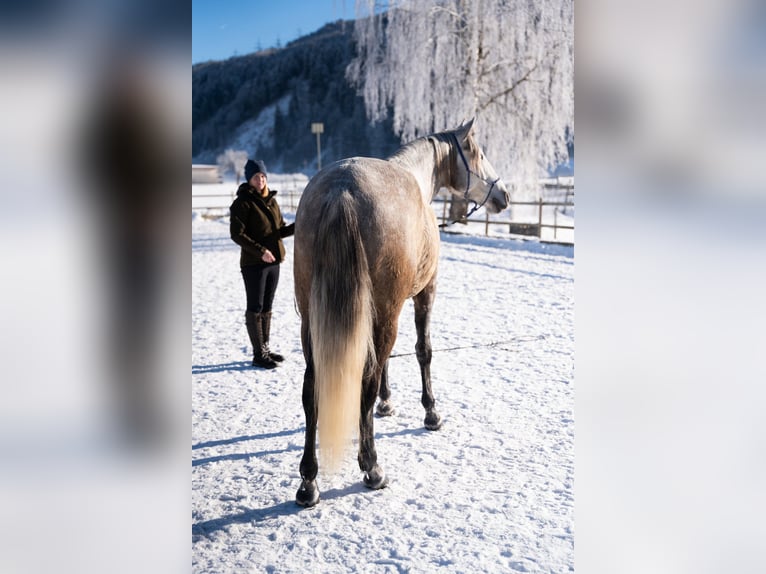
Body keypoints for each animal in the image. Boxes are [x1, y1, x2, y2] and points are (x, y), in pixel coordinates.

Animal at [294, 119, 510, 506]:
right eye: (480, 154)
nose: (504, 195)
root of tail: (342, 189)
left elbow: (387, 363)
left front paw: (387, 403)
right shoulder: (423, 293)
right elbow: (423, 351)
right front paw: (431, 412)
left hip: (313, 318)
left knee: (313, 388)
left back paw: (308, 482)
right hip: (385, 311)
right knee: (366, 378)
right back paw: (372, 467)